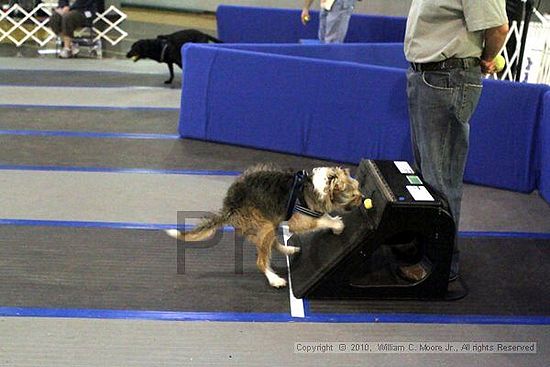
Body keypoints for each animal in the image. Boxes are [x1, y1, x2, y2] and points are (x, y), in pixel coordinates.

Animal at [168, 165, 366, 288]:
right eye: (354, 195)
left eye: (358, 187)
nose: (364, 198)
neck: (318, 185)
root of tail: (229, 207)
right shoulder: (300, 220)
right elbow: (321, 220)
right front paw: (337, 224)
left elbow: (324, 215)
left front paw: (334, 222)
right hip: (265, 226)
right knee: (261, 260)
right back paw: (275, 279)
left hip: (270, 223)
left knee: (272, 245)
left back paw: (289, 250)